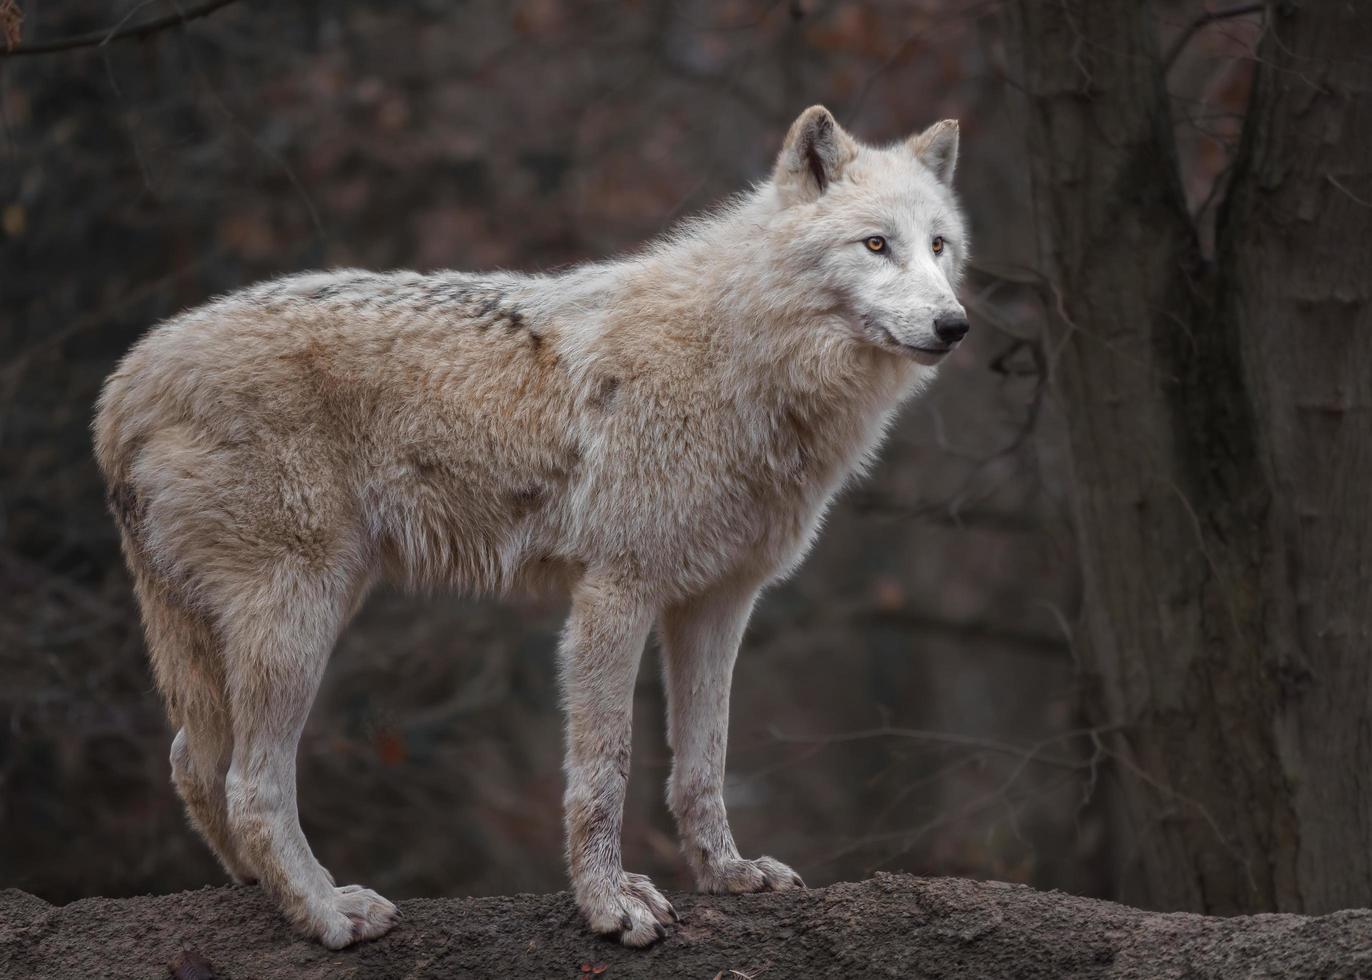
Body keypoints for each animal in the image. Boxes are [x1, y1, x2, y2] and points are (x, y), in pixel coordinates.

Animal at [91, 107, 971, 944]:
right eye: (876, 244)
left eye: (940, 247)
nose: (955, 324)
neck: (742, 357)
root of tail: (129, 376)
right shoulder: (615, 593)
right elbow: (606, 771)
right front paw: (611, 906)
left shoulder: (718, 604)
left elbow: (703, 763)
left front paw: (727, 874)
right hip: (299, 618)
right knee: (252, 785)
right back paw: (328, 914)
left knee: (192, 761)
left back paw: (268, 896)